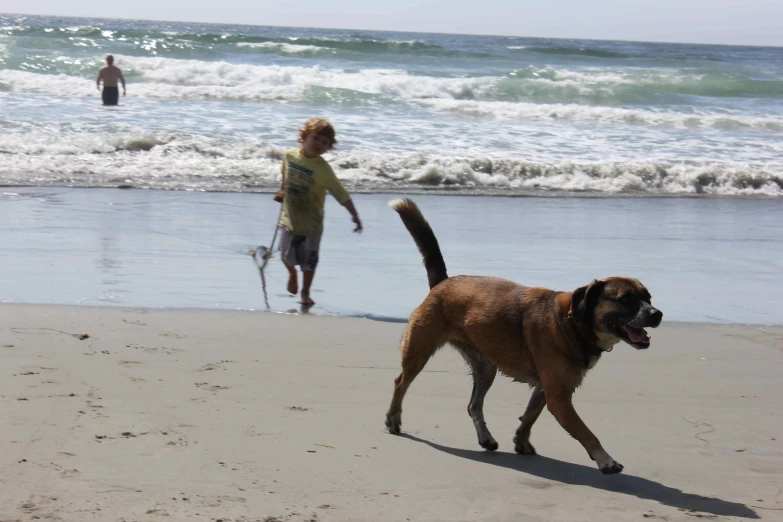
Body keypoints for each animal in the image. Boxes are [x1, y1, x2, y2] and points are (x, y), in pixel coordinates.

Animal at [386, 198, 660, 472]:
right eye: (625, 299)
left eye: (648, 297)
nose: (657, 314)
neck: (573, 322)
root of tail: (443, 282)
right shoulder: (559, 399)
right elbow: (586, 432)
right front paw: (605, 459)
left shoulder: (545, 389)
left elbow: (529, 416)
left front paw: (521, 441)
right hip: (419, 352)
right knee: (401, 382)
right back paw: (393, 419)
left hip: (486, 368)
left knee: (474, 404)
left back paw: (485, 438)